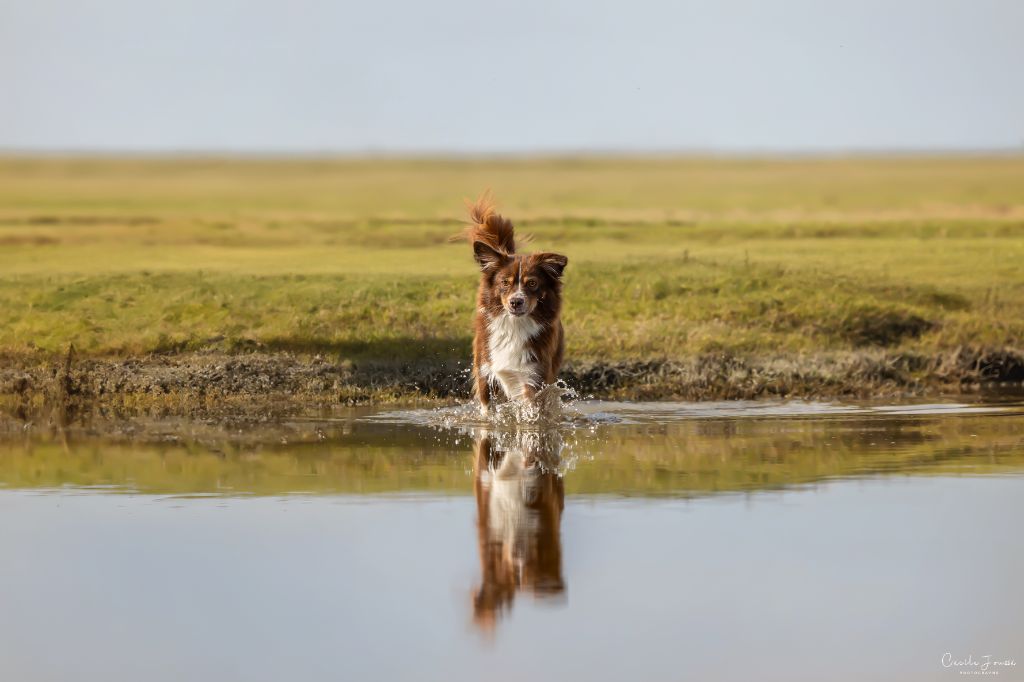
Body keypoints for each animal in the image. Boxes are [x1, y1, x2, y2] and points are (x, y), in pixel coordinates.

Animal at [458, 193, 569, 411]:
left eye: (532, 283)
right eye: (505, 282)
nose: (516, 302)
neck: (514, 326)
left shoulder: (535, 377)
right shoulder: (486, 372)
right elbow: (488, 412)